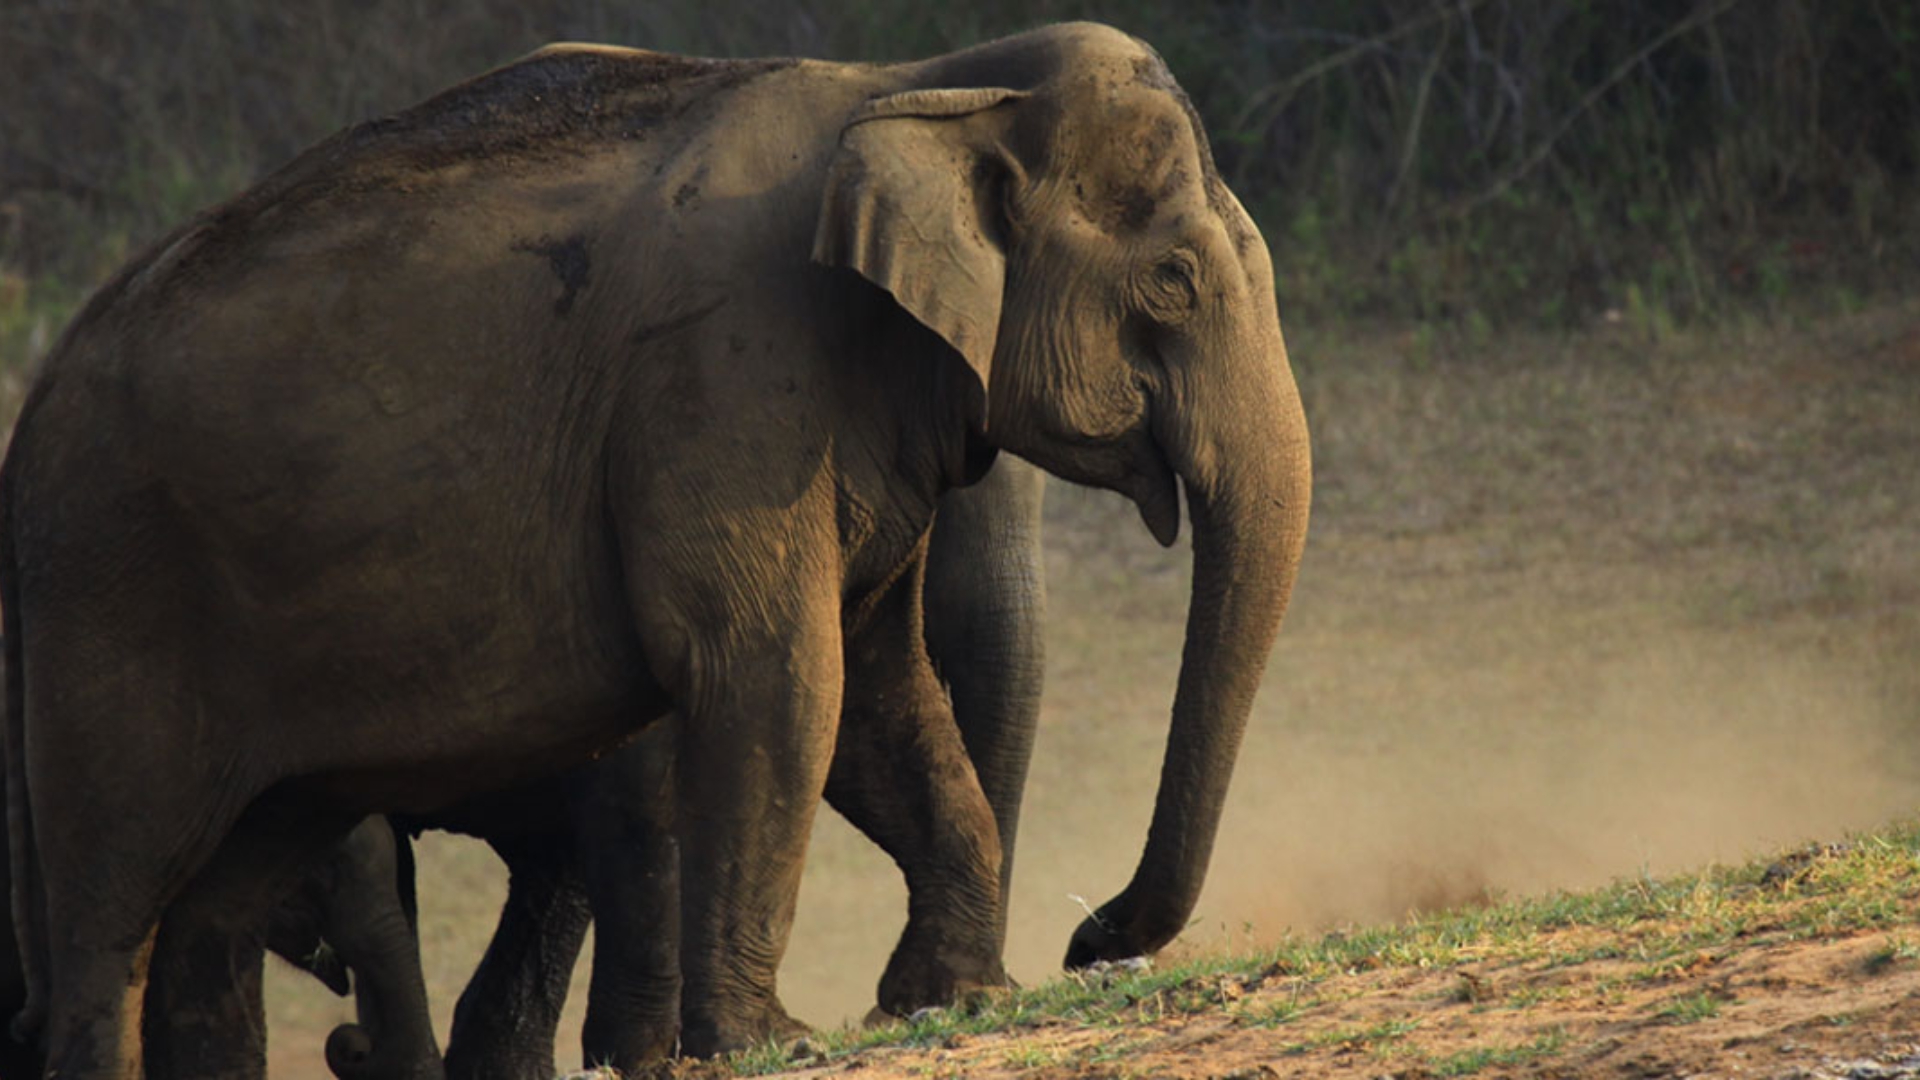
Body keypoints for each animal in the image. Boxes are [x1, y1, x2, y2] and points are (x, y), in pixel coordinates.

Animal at [0, 18, 1313, 1076]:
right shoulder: (724, 379)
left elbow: (876, 691)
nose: (1093, 937)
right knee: (115, 905)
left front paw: (949, 1000)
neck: (920, 85)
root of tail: (36, 403)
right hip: (109, 602)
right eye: (1175, 281)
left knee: (221, 908)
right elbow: (776, 675)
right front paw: (773, 1040)